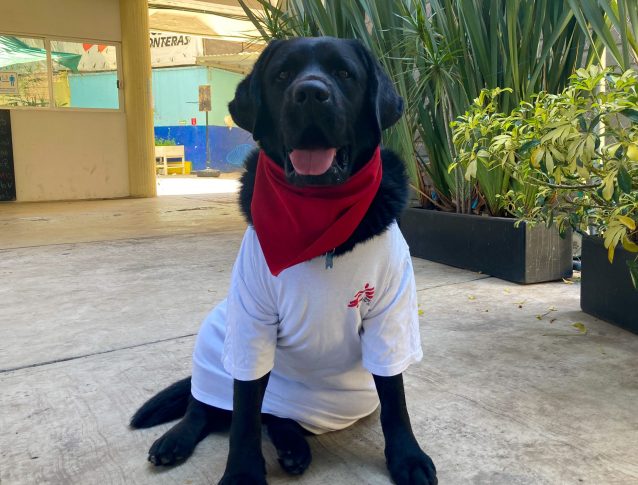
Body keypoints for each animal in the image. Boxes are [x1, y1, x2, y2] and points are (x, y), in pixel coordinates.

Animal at [132, 36, 438, 484]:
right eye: (282, 75)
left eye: (344, 73)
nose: (310, 93)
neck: (319, 219)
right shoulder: (251, 322)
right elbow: (244, 411)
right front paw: (242, 472)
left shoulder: (390, 315)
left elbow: (395, 399)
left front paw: (407, 457)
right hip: (215, 337)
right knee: (204, 405)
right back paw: (177, 440)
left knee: (274, 415)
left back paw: (292, 445)